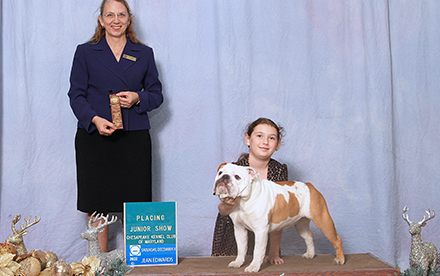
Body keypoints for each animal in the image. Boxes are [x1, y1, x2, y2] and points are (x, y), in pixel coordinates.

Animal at [213, 163, 344, 272]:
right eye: (220, 172)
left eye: (237, 177)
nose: (224, 177)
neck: (243, 201)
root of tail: (309, 185)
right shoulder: (239, 229)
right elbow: (241, 248)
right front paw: (238, 262)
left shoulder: (260, 231)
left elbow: (257, 251)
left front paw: (254, 267)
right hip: (301, 224)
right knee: (309, 236)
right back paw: (310, 254)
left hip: (323, 219)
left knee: (336, 239)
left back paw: (340, 259)